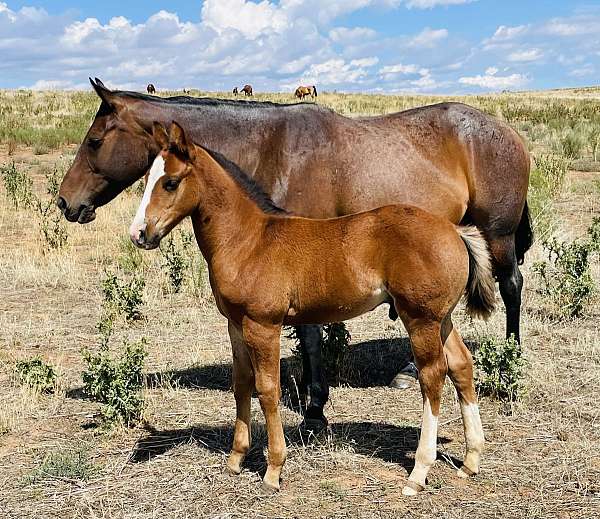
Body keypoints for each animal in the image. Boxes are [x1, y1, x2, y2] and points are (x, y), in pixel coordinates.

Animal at [129, 122, 494, 496]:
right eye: (146, 178)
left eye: (170, 182)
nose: (139, 234)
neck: (249, 240)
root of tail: (454, 231)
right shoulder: (235, 324)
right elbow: (241, 383)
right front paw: (235, 459)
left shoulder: (264, 325)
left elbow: (267, 389)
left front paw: (273, 470)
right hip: (442, 319)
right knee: (461, 365)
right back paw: (471, 460)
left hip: (420, 319)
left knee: (433, 376)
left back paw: (418, 472)